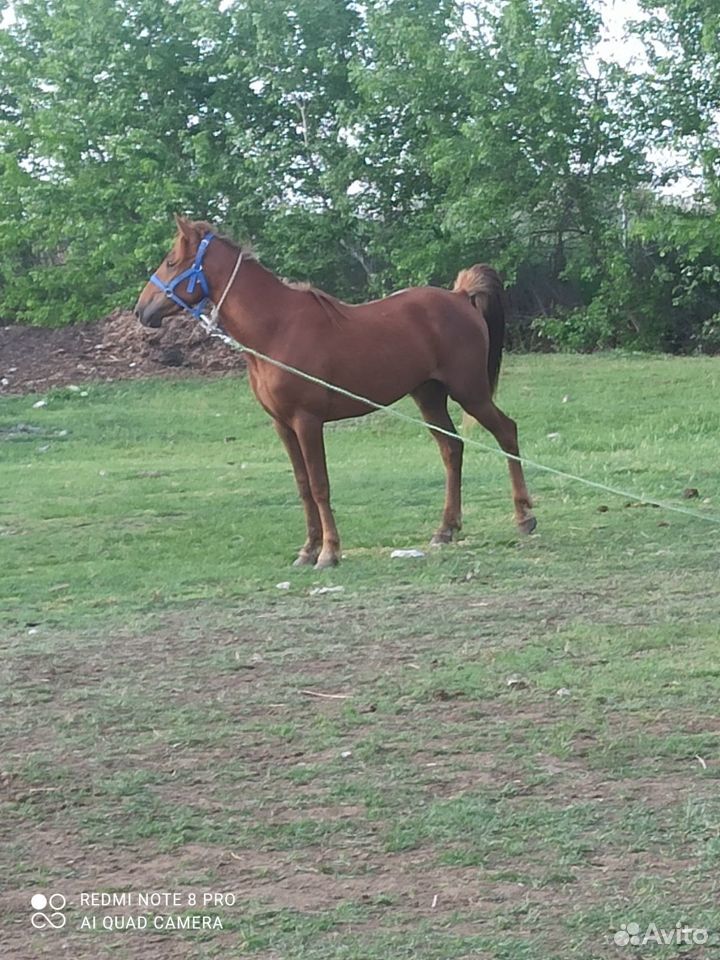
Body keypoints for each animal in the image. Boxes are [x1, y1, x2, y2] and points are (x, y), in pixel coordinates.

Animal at [136, 214, 536, 568]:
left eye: (171, 261)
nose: (141, 311)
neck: (276, 329)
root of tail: (460, 296)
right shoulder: (283, 425)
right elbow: (302, 486)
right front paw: (307, 550)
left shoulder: (307, 421)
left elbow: (319, 485)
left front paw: (328, 553)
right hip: (429, 396)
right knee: (452, 449)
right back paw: (446, 529)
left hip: (470, 392)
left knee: (506, 432)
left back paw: (524, 517)